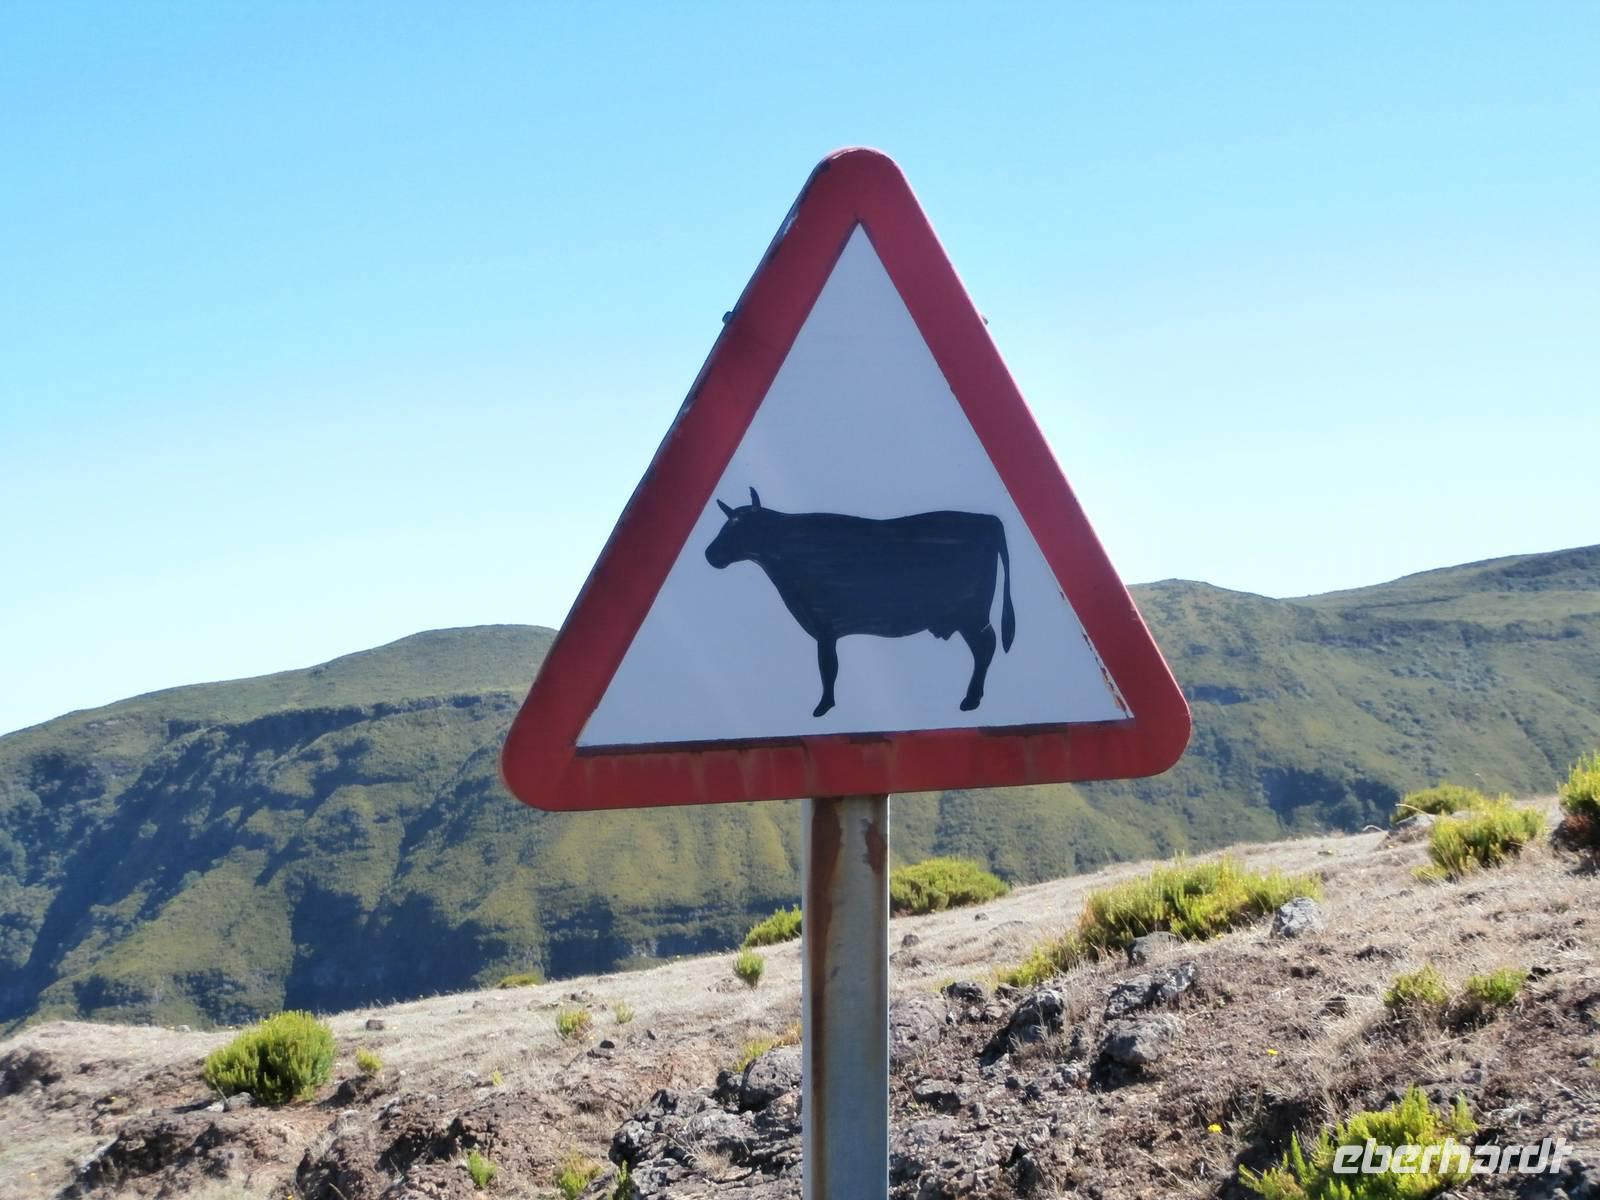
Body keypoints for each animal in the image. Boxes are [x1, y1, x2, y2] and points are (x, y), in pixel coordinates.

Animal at [704, 488, 1016, 717]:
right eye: (725, 524)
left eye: (740, 527)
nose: (709, 554)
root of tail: (988, 519)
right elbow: (830, 667)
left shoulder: (824, 625)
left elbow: (828, 667)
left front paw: (822, 707)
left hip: (972, 614)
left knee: (986, 646)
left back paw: (971, 700)